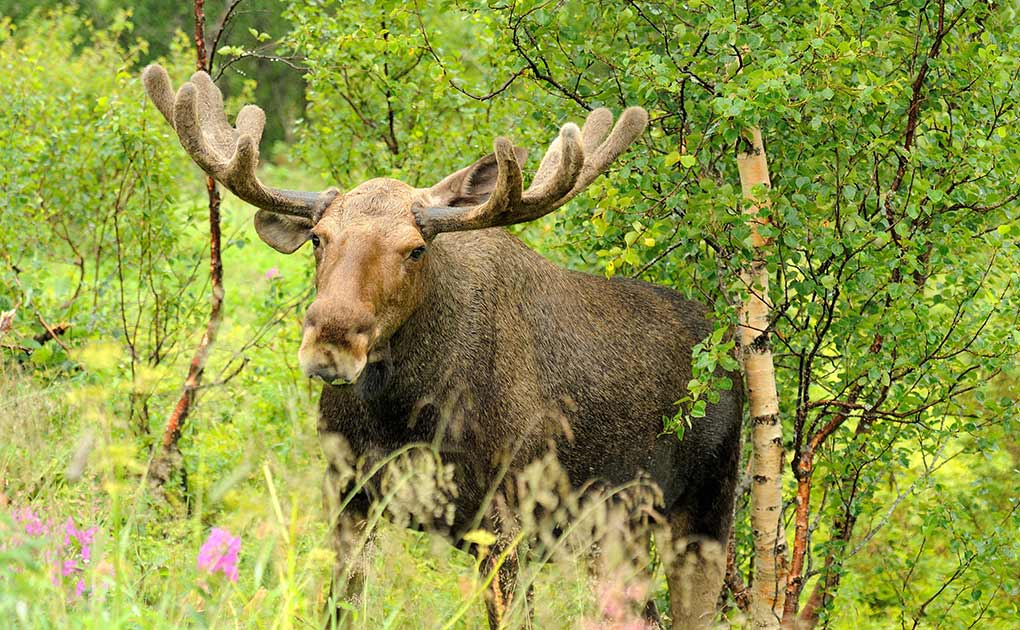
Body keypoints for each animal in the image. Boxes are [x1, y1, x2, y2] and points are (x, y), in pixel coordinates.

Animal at [143, 64, 741, 629]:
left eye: (415, 249)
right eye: (318, 238)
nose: (331, 340)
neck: (401, 414)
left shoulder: (506, 515)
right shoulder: (350, 496)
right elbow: (341, 608)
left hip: (704, 512)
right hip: (617, 532)